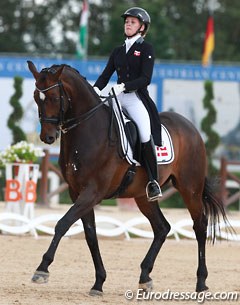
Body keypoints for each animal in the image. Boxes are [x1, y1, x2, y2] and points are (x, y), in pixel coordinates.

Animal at [27, 60, 228, 294]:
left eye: (53, 97)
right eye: (36, 97)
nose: (47, 137)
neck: (89, 131)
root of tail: (191, 128)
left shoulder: (93, 192)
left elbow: (63, 223)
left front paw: (42, 269)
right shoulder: (77, 192)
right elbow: (90, 235)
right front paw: (99, 282)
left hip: (190, 188)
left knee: (200, 226)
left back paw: (201, 282)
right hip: (143, 196)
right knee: (162, 228)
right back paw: (145, 277)